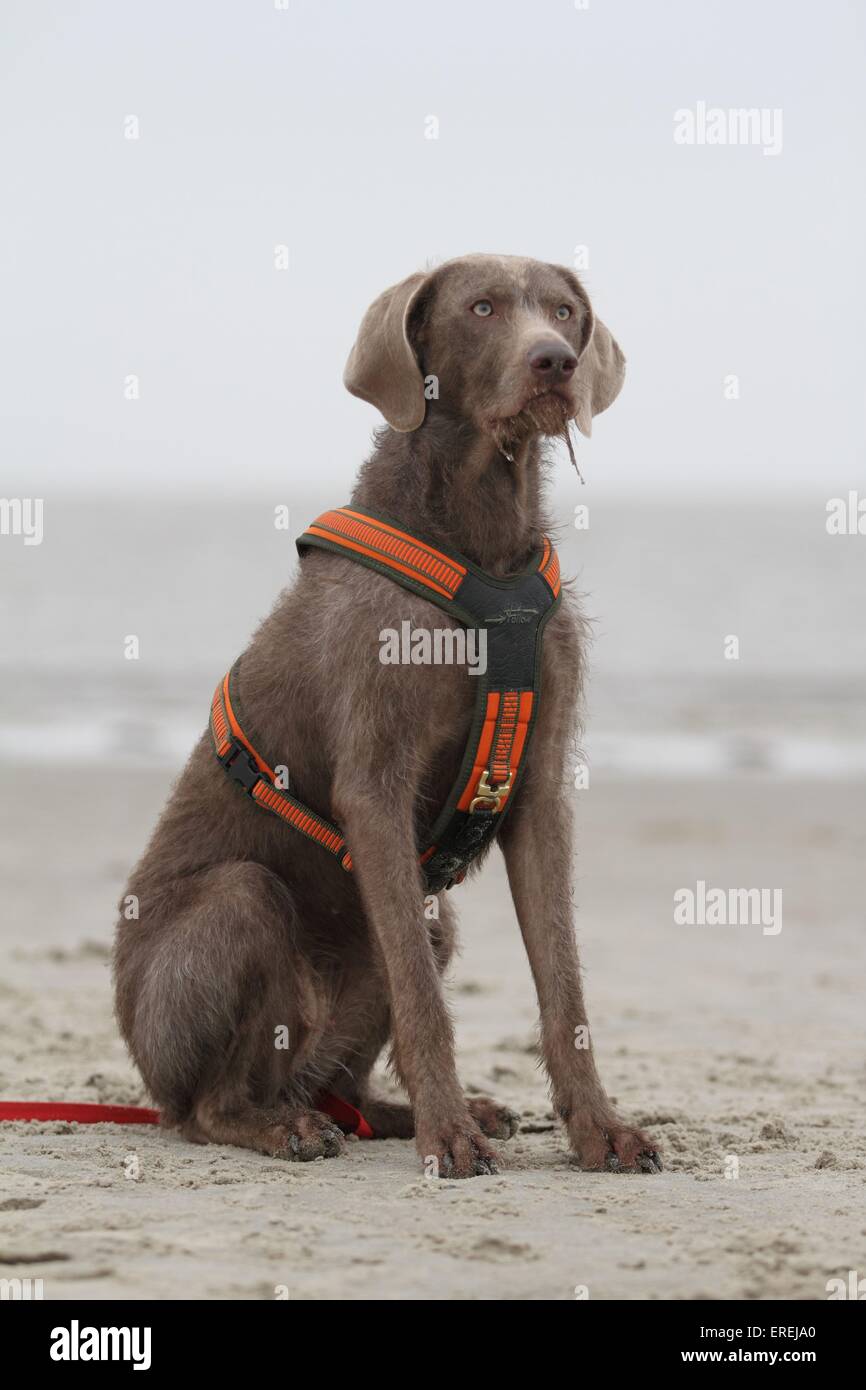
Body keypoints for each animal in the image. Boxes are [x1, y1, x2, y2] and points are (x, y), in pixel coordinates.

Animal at [111, 255, 661, 1178]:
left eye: (563, 312)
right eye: (483, 307)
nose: (553, 361)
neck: (480, 545)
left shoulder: (539, 789)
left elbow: (564, 984)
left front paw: (599, 1128)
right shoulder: (376, 785)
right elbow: (422, 1000)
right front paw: (450, 1137)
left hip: (422, 935)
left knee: (341, 1083)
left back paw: (405, 1112)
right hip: (232, 919)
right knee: (212, 1104)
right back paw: (286, 1127)